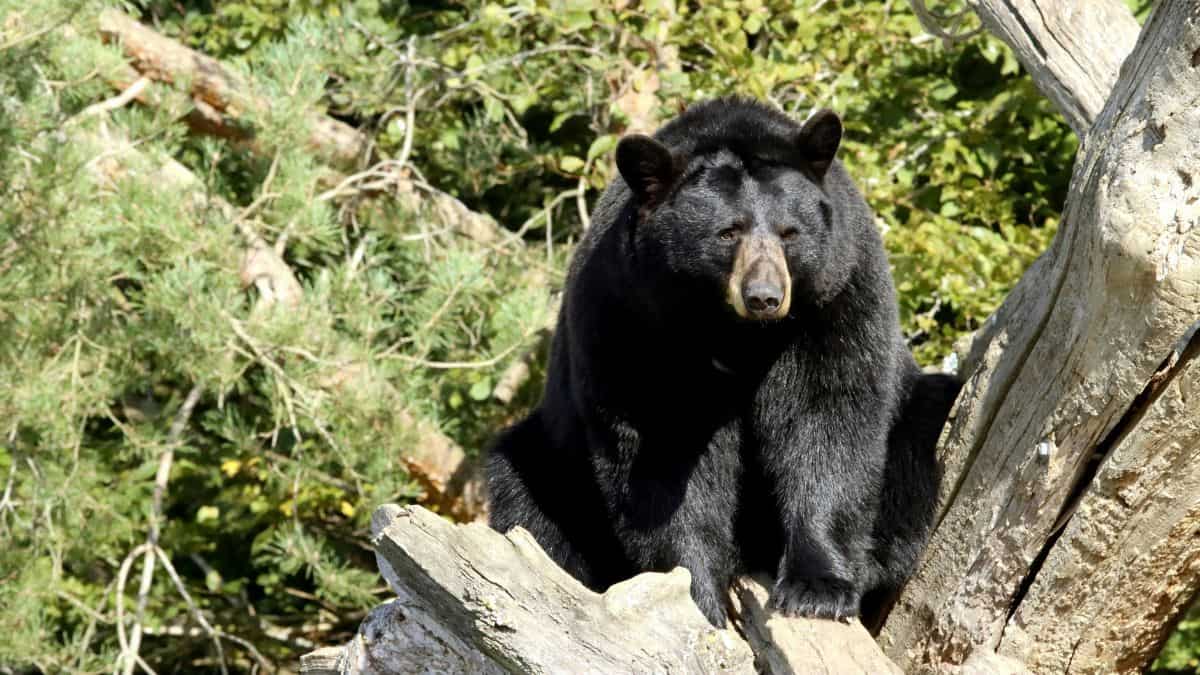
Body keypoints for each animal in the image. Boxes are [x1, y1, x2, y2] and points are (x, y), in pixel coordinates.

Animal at [486, 97, 960, 629]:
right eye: (728, 233)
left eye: (790, 233)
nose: (764, 297)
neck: (734, 332)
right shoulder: (631, 316)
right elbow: (662, 451)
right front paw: (697, 596)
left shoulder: (837, 294)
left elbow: (829, 416)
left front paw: (818, 588)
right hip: (554, 462)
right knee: (527, 498)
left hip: (915, 413)